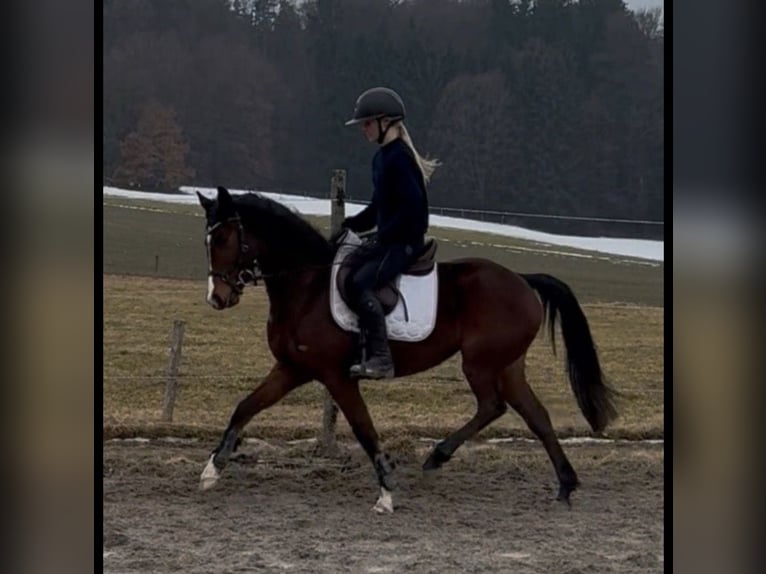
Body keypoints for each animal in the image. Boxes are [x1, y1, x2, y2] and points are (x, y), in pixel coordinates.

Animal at [196, 186, 617, 514]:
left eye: (223, 239)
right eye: (207, 241)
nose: (218, 298)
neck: (305, 286)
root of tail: (521, 280)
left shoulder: (336, 376)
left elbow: (363, 428)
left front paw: (385, 492)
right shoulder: (291, 368)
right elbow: (246, 406)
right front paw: (213, 469)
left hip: (480, 363)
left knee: (492, 406)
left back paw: (437, 456)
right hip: (508, 365)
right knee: (536, 415)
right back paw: (564, 485)